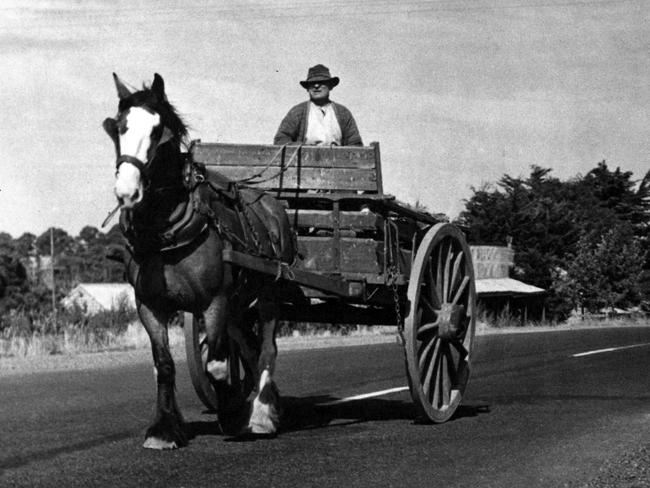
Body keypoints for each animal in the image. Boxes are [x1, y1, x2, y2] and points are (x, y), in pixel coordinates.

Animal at [102, 72, 294, 450]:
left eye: (158, 131)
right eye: (119, 127)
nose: (127, 192)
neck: (166, 234)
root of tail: (271, 205)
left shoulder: (214, 300)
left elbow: (216, 365)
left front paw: (232, 414)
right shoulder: (149, 305)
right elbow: (163, 365)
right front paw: (164, 429)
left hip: (268, 294)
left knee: (267, 350)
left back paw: (262, 414)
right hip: (239, 304)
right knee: (249, 349)